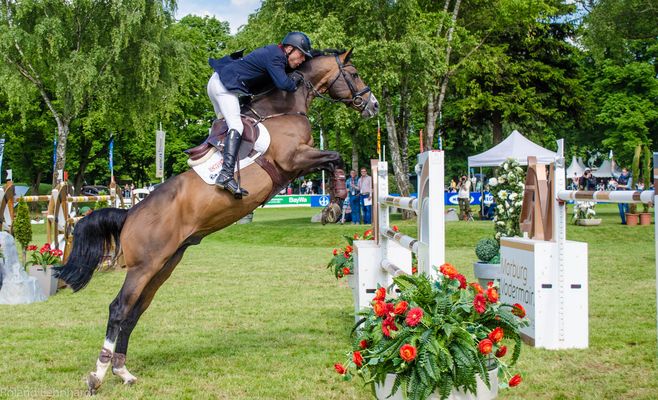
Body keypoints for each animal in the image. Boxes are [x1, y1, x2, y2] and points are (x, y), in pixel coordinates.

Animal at [54, 49, 378, 395]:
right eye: (354, 73)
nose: (372, 105)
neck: (283, 110)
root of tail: (129, 213)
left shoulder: (299, 164)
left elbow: (333, 162)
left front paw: (334, 204)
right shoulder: (293, 159)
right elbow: (336, 157)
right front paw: (335, 205)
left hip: (164, 265)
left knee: (134, 312)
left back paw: (123, 371)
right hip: (143, 267)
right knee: (118, 309)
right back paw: (98, 375)